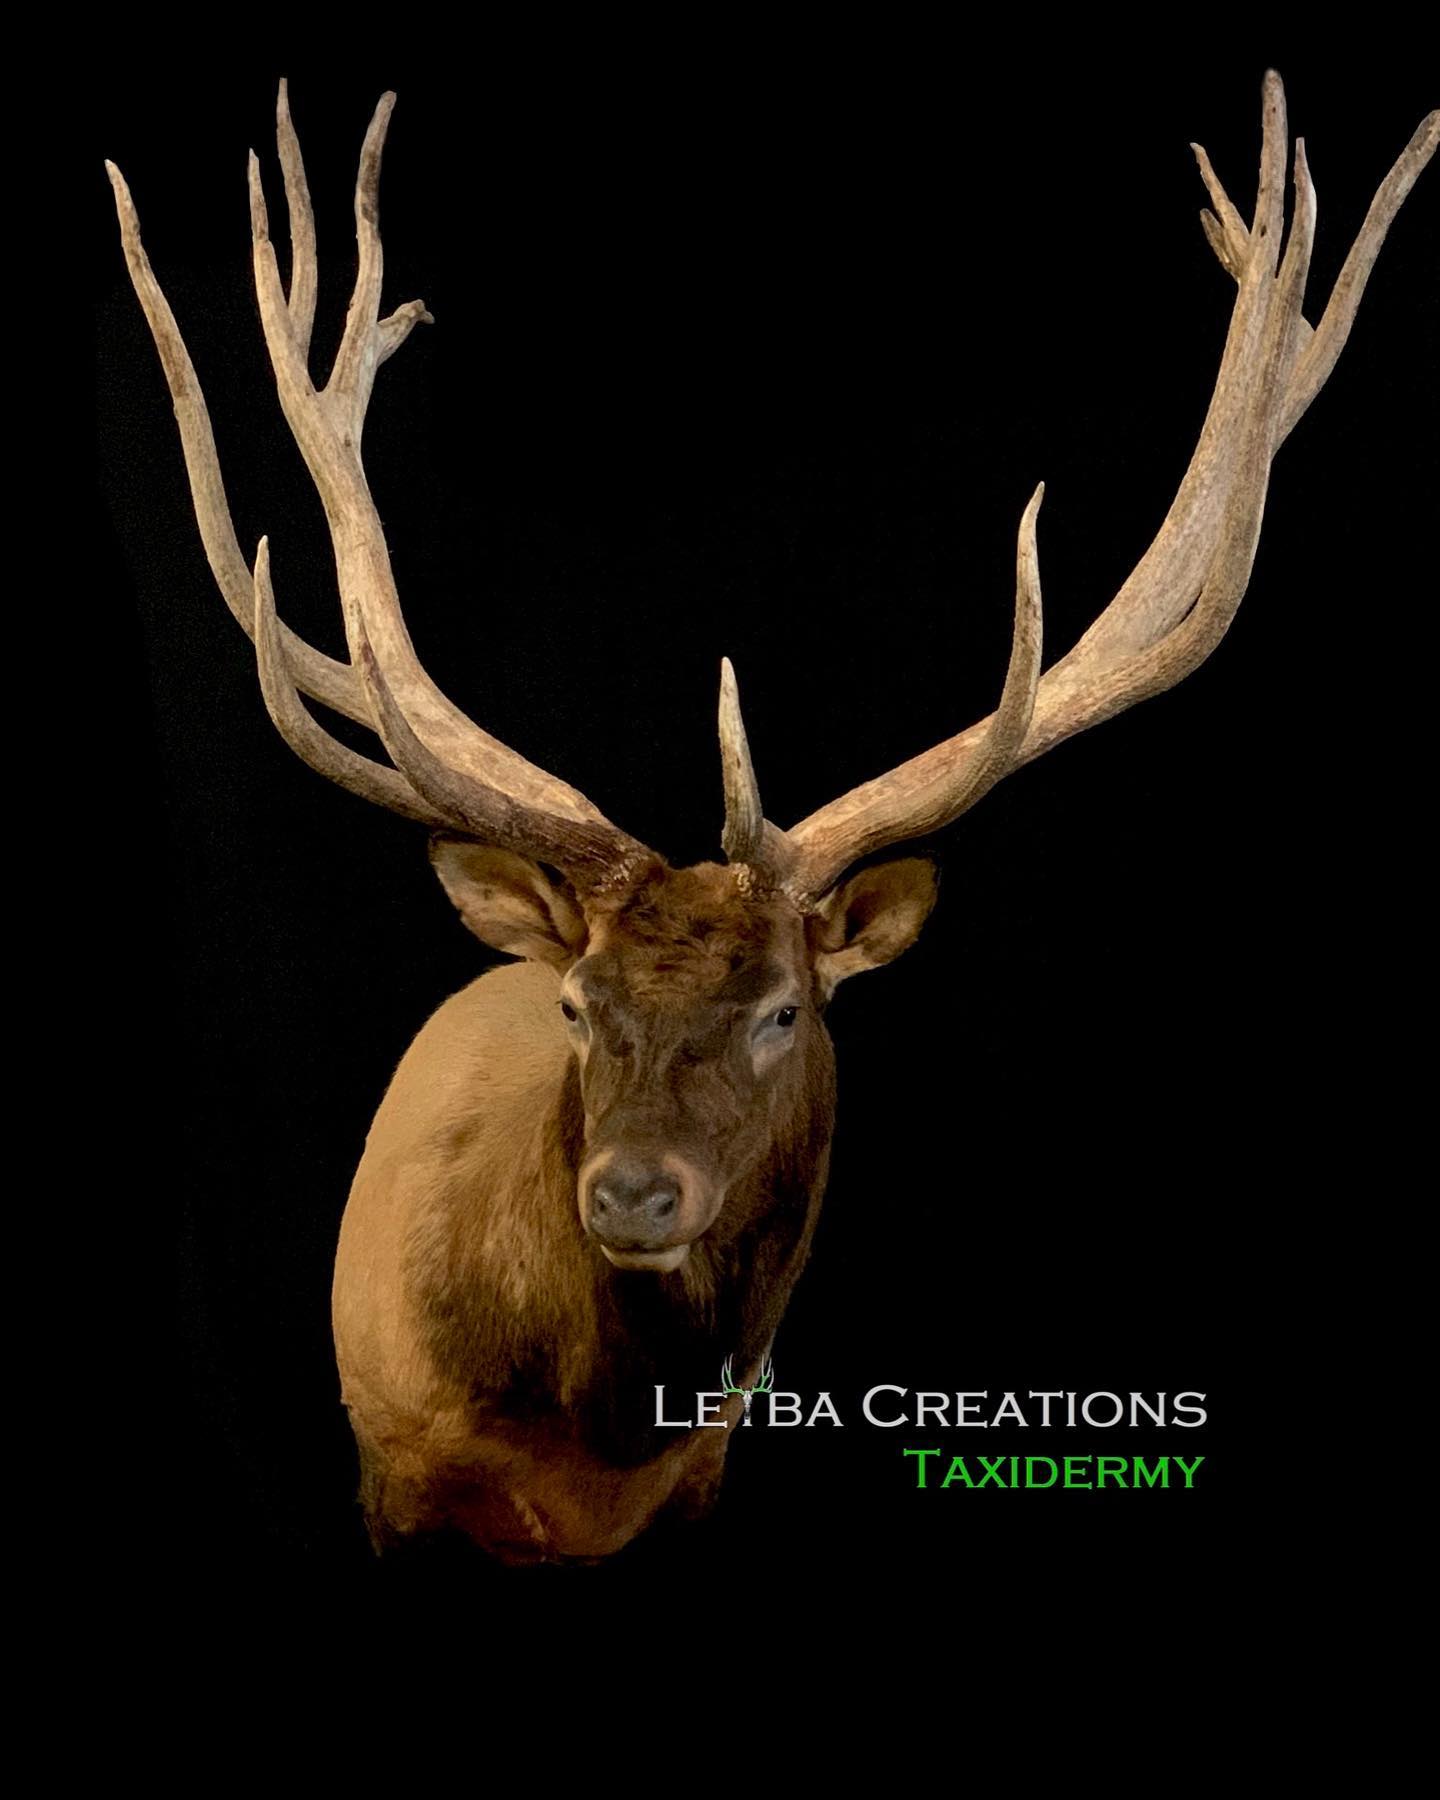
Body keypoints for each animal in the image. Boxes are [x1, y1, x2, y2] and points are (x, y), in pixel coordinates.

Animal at [106, 73, 1435, 1563]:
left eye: (785, 1009)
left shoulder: (707, 1478)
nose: (633, 1191)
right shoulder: (387, 1468)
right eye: (577, 1002)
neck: (585, 1453)